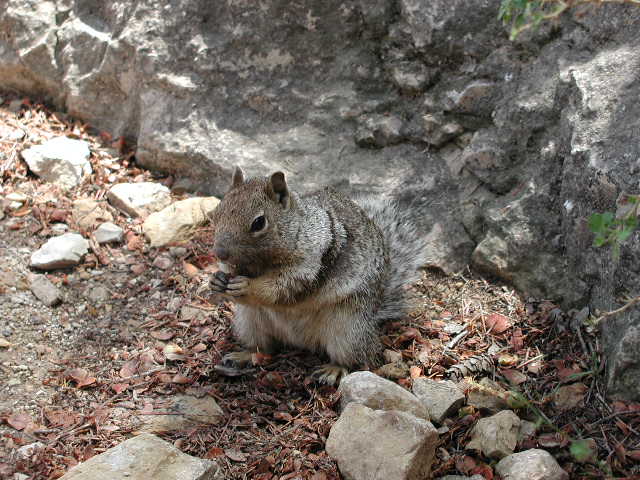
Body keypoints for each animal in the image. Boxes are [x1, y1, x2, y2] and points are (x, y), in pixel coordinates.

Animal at [210, 167, 428, 384]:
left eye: (259, 222)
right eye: (217, 212)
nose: (219, 252)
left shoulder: (309, 265)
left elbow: (281, 287)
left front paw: (248, 286)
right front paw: (216, 281)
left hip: (348, 329)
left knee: (355, 358)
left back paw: (334, 369)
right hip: (250, 323)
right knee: (264, 347)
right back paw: (244, 355)